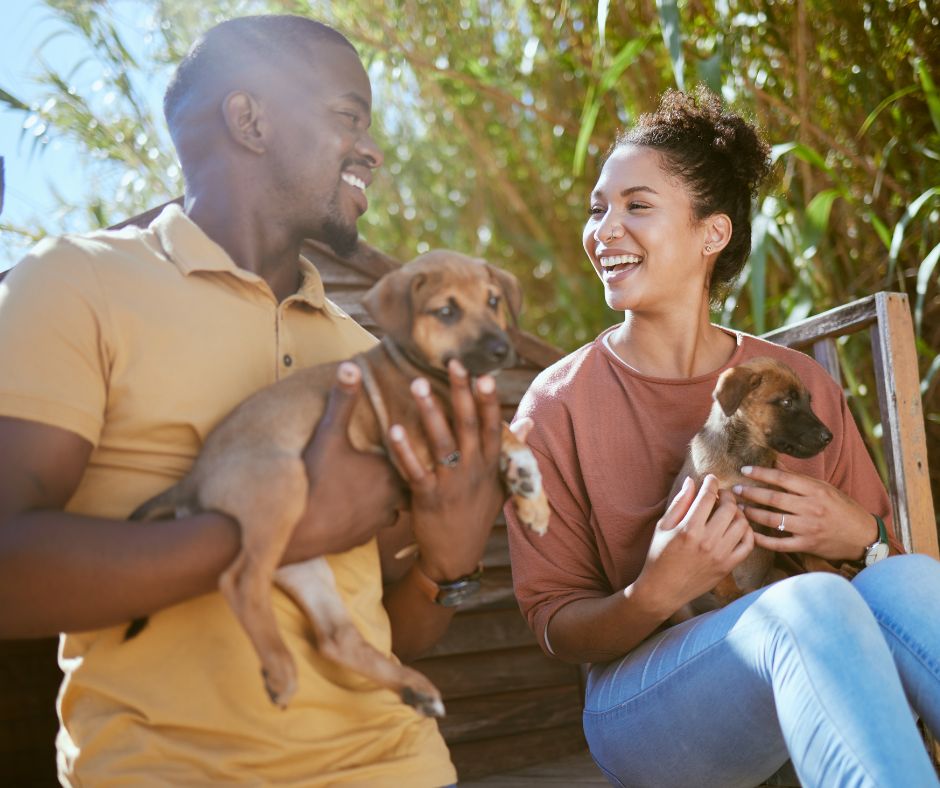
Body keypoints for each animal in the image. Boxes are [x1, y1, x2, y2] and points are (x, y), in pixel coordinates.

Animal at [129, 251, 548, 716]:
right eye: (446, 312)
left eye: (493, 301)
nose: (501, 350)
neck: (421, 369)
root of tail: (193, 479)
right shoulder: (416, 436)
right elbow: (484, 439)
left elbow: (507, 435)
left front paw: (531, 492)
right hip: (282, 486)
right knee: (240, 581)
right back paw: (281, 669)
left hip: (303, 565)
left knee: (335, 639)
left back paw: (414, 686)